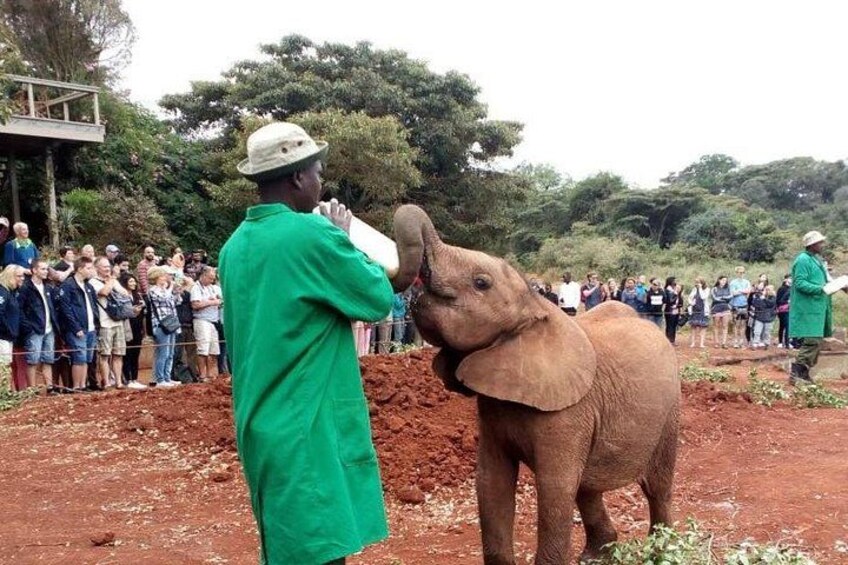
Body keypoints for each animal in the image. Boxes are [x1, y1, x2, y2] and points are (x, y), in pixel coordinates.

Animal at [390, 205, 680, 565]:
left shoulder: (570, 414)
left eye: (481, 283)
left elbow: (555, 489)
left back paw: (662, 551)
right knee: (588, 486)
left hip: (670, 412)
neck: (536, 306)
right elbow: (491, 482)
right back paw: (597, 555)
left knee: (656, 487)